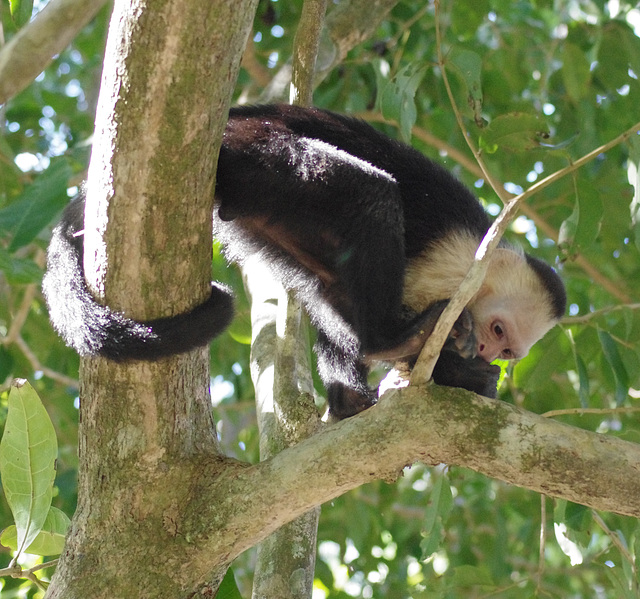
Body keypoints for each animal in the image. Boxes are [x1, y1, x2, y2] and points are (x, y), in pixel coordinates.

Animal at [43, 105, 564, 420]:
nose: (488, 352)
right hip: (255, 151)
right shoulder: (455, 266)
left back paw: (350, 394)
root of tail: (235, 117)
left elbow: (338, 310)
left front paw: (467, 376)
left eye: (507, 350)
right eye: (497, 331)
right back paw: (392, 337)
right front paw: (438, 358)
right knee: (369, 196)